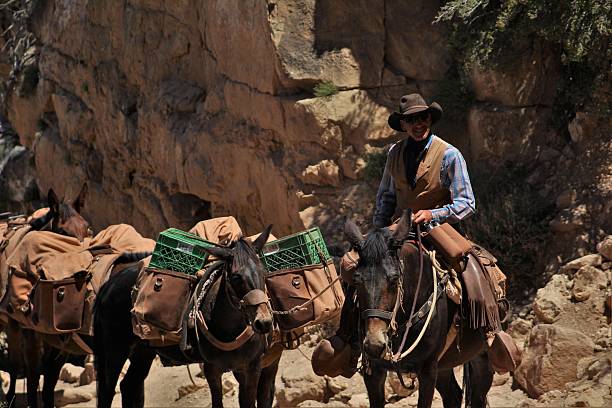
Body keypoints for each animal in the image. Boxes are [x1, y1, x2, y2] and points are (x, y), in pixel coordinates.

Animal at [2, 185, 91, 408]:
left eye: (87, 229)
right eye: (63, 232)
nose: (84, 269)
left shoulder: (61, 338)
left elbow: (50, 377)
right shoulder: (29, 333)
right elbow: (34, 375)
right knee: (15, 363)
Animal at [344, 210, 492, 408]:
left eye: (394, 279)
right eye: (356, 279)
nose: (374, 344)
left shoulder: (427, 370)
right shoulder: (373, 371)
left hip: (482, 356)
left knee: (477, 396)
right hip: (444, 365)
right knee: (453, 395)